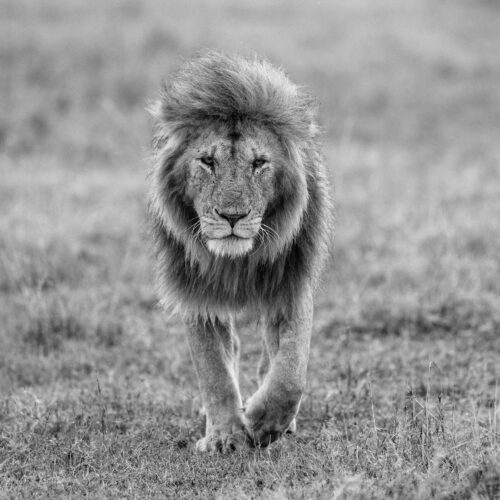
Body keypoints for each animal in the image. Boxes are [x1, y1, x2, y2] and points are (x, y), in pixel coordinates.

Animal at [149, 51, 336, 454]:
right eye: (207, 161)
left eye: (259, 163)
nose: (232, 216)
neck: (238, 261)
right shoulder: (195, 291)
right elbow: (214, 370)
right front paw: (224, 435)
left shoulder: (292, 283)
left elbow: (290, 373)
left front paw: (264, 422)